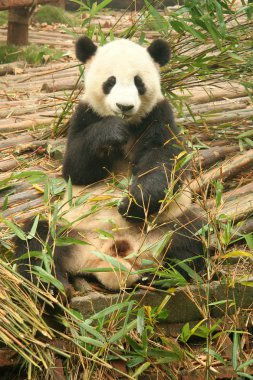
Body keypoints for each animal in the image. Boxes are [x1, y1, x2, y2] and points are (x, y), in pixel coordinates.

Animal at [14, 36, 206, 290]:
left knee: (189, 236)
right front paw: (111, 131)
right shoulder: (84, 114)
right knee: (37, 240)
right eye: (110, 81)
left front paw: (131, 204)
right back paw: (50, 288)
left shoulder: (158, 114)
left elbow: (164, 161)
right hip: (71, 231)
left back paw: (166, 276)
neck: (129, 123)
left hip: (166, 225)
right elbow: (74, 167)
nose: (124, 107)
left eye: (138, 82)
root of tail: (110, 259)